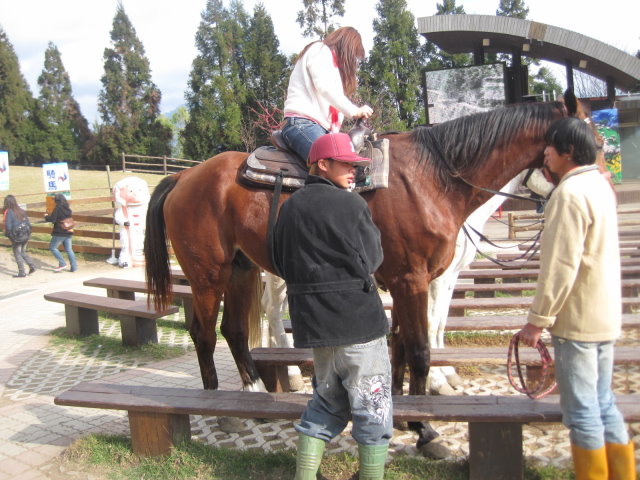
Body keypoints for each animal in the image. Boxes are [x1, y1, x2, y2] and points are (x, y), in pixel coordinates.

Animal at [145, 99, 579, 448]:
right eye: (584, 142)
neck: (431, 179)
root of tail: (185, 176)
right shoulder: (415, 281)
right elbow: (420, 348)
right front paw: (425, 426)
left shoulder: (409, 282)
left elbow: (400, 346)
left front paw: (403, 413)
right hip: (208, 276)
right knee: (204, 335)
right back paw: (220, 408)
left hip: (241, 271)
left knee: (234, 331)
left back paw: (251, 396)